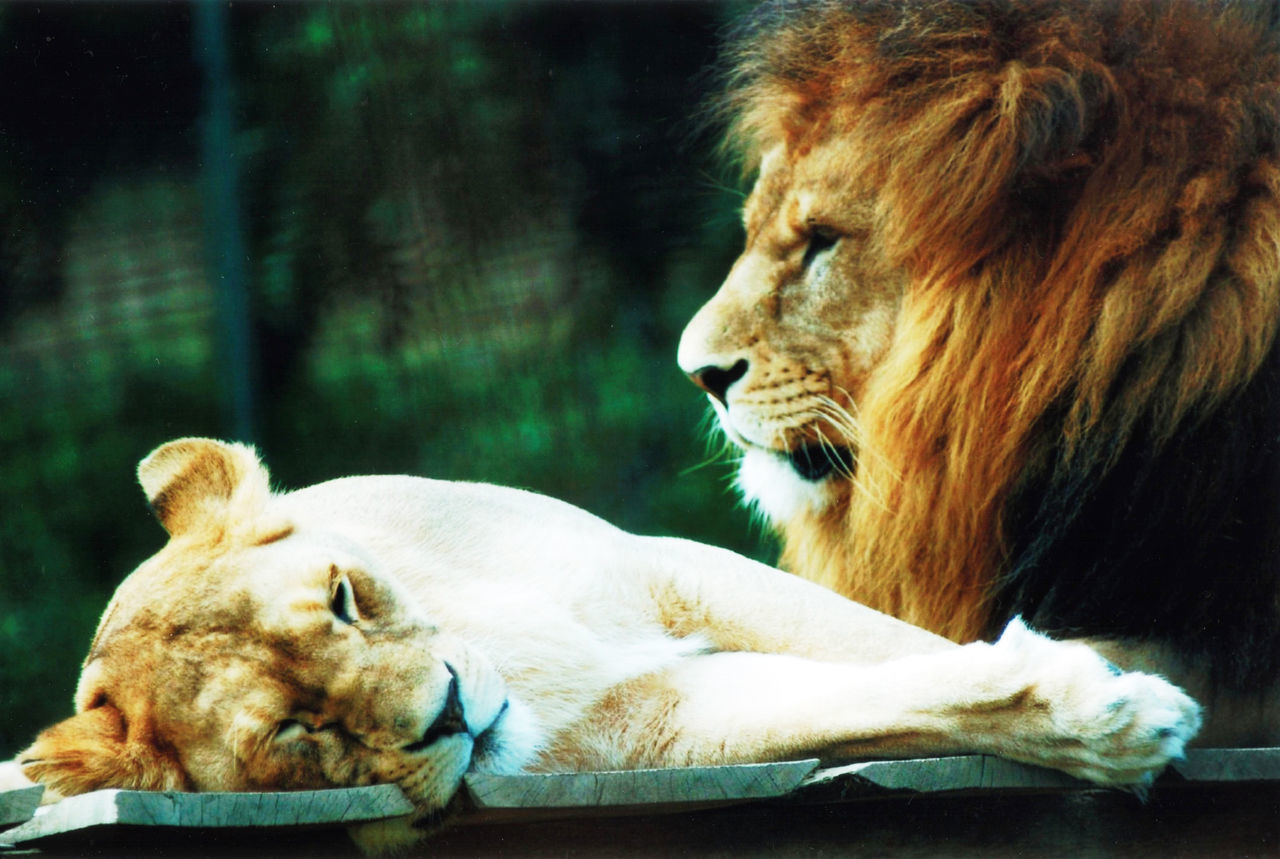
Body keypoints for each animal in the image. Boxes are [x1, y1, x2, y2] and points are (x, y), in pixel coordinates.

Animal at [7, 442, 1198, 855]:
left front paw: (1126, 697)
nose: (450, 710)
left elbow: (880, 640)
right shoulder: (657, 729)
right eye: (299, 732)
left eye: (343, 598)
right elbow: (881, 697)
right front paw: (1112, 720)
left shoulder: (673, 567)